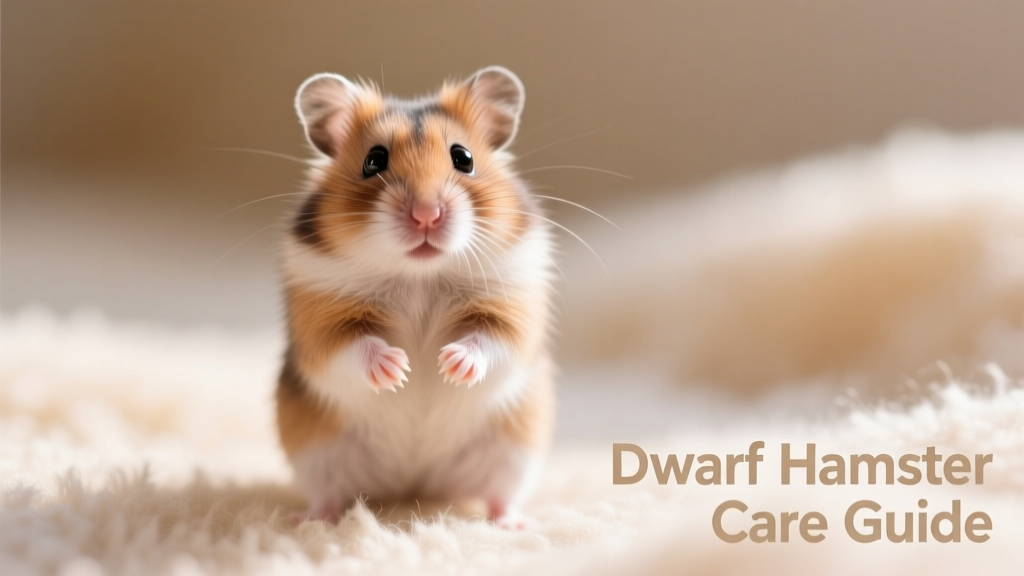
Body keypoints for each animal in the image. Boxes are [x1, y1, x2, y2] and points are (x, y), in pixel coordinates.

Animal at [275, 66, 556, 526]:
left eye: (464, 158)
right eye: (373, 161)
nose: (426, 215)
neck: (419, 275)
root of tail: (414, 483)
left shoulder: (511, 310)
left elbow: (490, 340)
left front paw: (450, 365)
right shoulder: (321, 322)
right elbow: (351, 346)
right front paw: (398, 370)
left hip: (513, 451)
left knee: (500, 494)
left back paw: (513, 522)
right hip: (318, 452)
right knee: (328, 494)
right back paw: (308, 520)